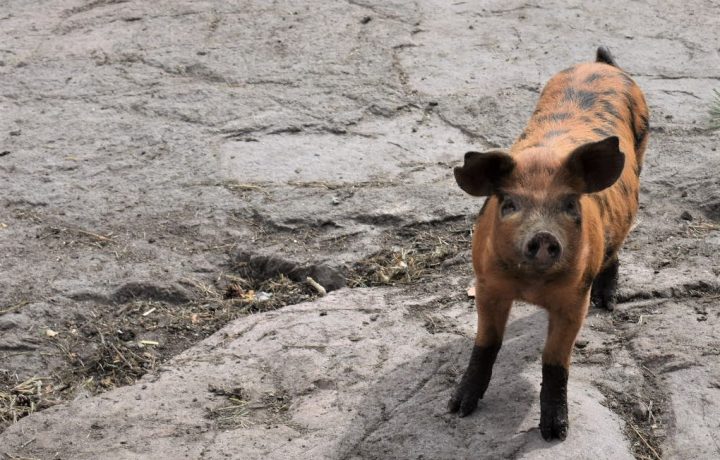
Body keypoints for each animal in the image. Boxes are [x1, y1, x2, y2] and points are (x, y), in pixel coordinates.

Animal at [450, 47, 648, 442]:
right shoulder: (486, 284)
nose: (543, 235)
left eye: (570, 203)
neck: (531, 287)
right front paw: (457, 409)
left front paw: (555, 434)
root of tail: (602, 64)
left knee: (615, 251)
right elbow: (486, 344)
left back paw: (608, 303)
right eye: (509, 204)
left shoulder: (574, 297)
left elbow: (555, 361)